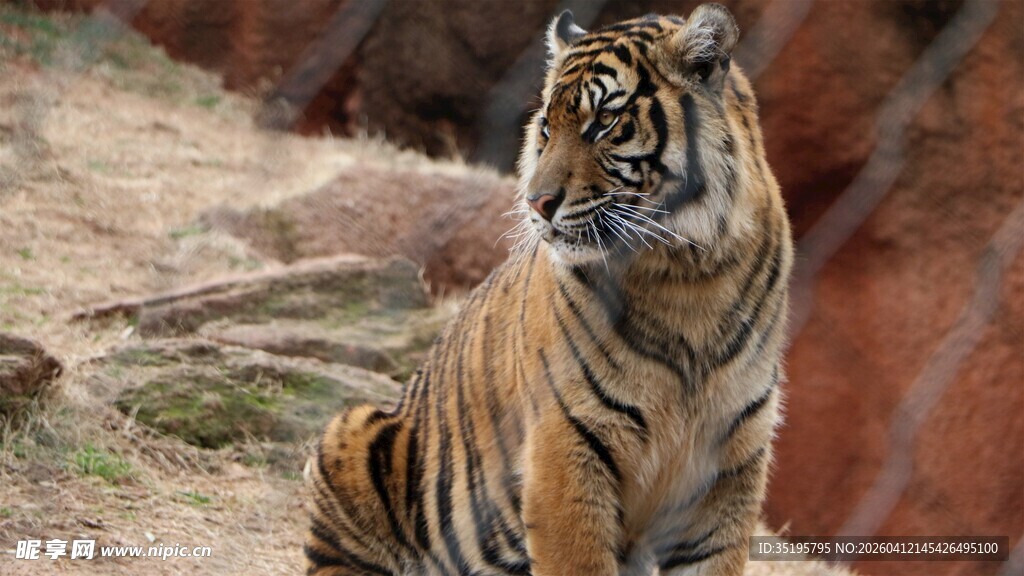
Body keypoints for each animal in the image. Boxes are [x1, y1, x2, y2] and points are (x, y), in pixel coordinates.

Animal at [304, 4, 793, 575]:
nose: (537, 202)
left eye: (603, 122)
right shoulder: (567, 444)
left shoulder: (729, 467)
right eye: (544, 127)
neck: (687, 274)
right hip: (350, 430)